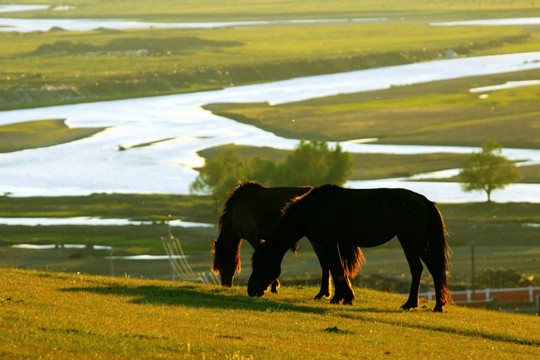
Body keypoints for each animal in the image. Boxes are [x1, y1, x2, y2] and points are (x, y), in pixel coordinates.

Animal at [211, 183, 362, 298]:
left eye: (221, 262)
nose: (225, 284)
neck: (235, 211)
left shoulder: (253, 236)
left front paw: (273, 286)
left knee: (325, 264)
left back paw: (323, 293)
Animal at [249, 184, 452, 310]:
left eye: (259, 264)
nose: (251, 290)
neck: (311, 209)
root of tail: (424, 201)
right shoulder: (333, 243)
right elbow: (336, 268)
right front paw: (340, 297)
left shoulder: (329, 242)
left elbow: (337, 268)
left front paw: (344, 297)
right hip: (421, 244)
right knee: (435, 270)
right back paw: (437, 306)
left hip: (409, 242)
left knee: (417, 269)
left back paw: (410, 304)